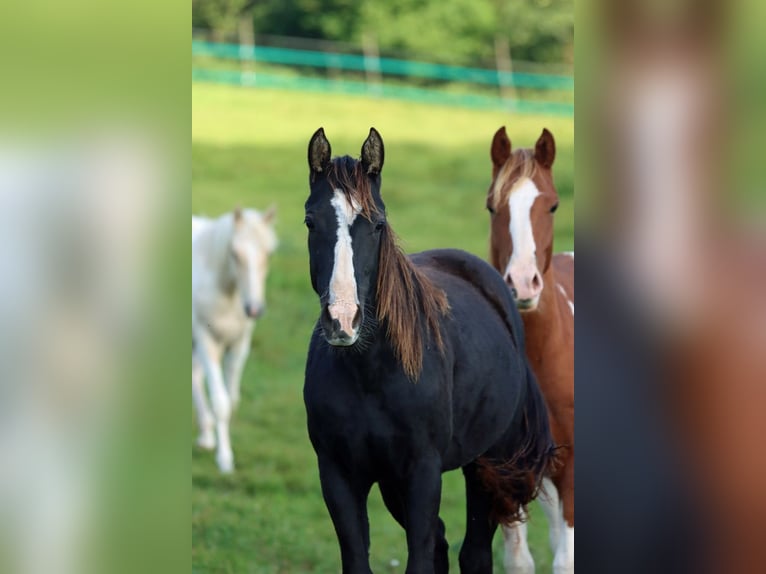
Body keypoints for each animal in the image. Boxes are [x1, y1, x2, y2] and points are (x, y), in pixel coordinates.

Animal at [194, 206, 278, 472]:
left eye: (268, 253)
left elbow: (231, 401)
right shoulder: (206, 339)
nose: (254, 309)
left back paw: (206, 435)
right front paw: (225, 460)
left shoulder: (239, 344)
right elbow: (221, 403)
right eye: (234, 253)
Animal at [302, 129, 560, 574]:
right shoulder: (339, 475)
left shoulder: (422, 473)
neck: (371, 373)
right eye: (310, 221)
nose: (343, 319)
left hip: (487, 465)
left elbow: (421, 556)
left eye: (378, 223)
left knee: (473, 553)